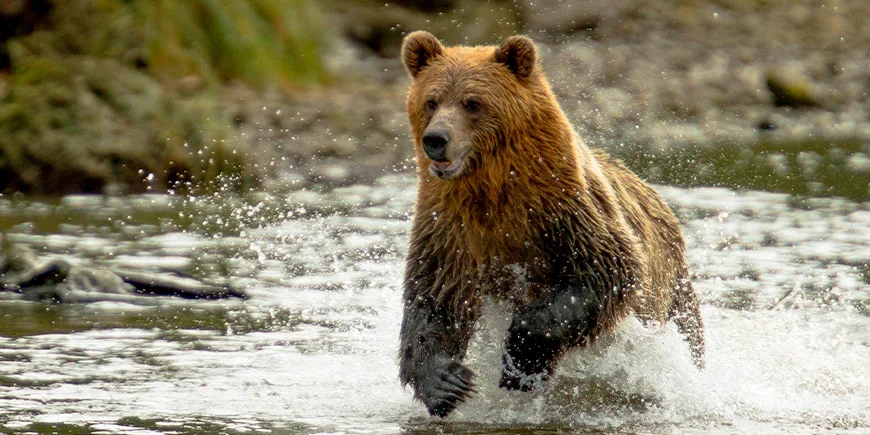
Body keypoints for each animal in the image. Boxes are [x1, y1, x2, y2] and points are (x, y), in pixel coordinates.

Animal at [397, 31, 705, 418]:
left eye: (472, 103)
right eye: (432, 101)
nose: (436, 139)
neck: (494, 190)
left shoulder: (565, 209)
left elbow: (605, 272)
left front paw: (520, 362)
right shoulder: (449, 227)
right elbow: (435, 298)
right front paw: (447, 382)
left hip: (673, 292)